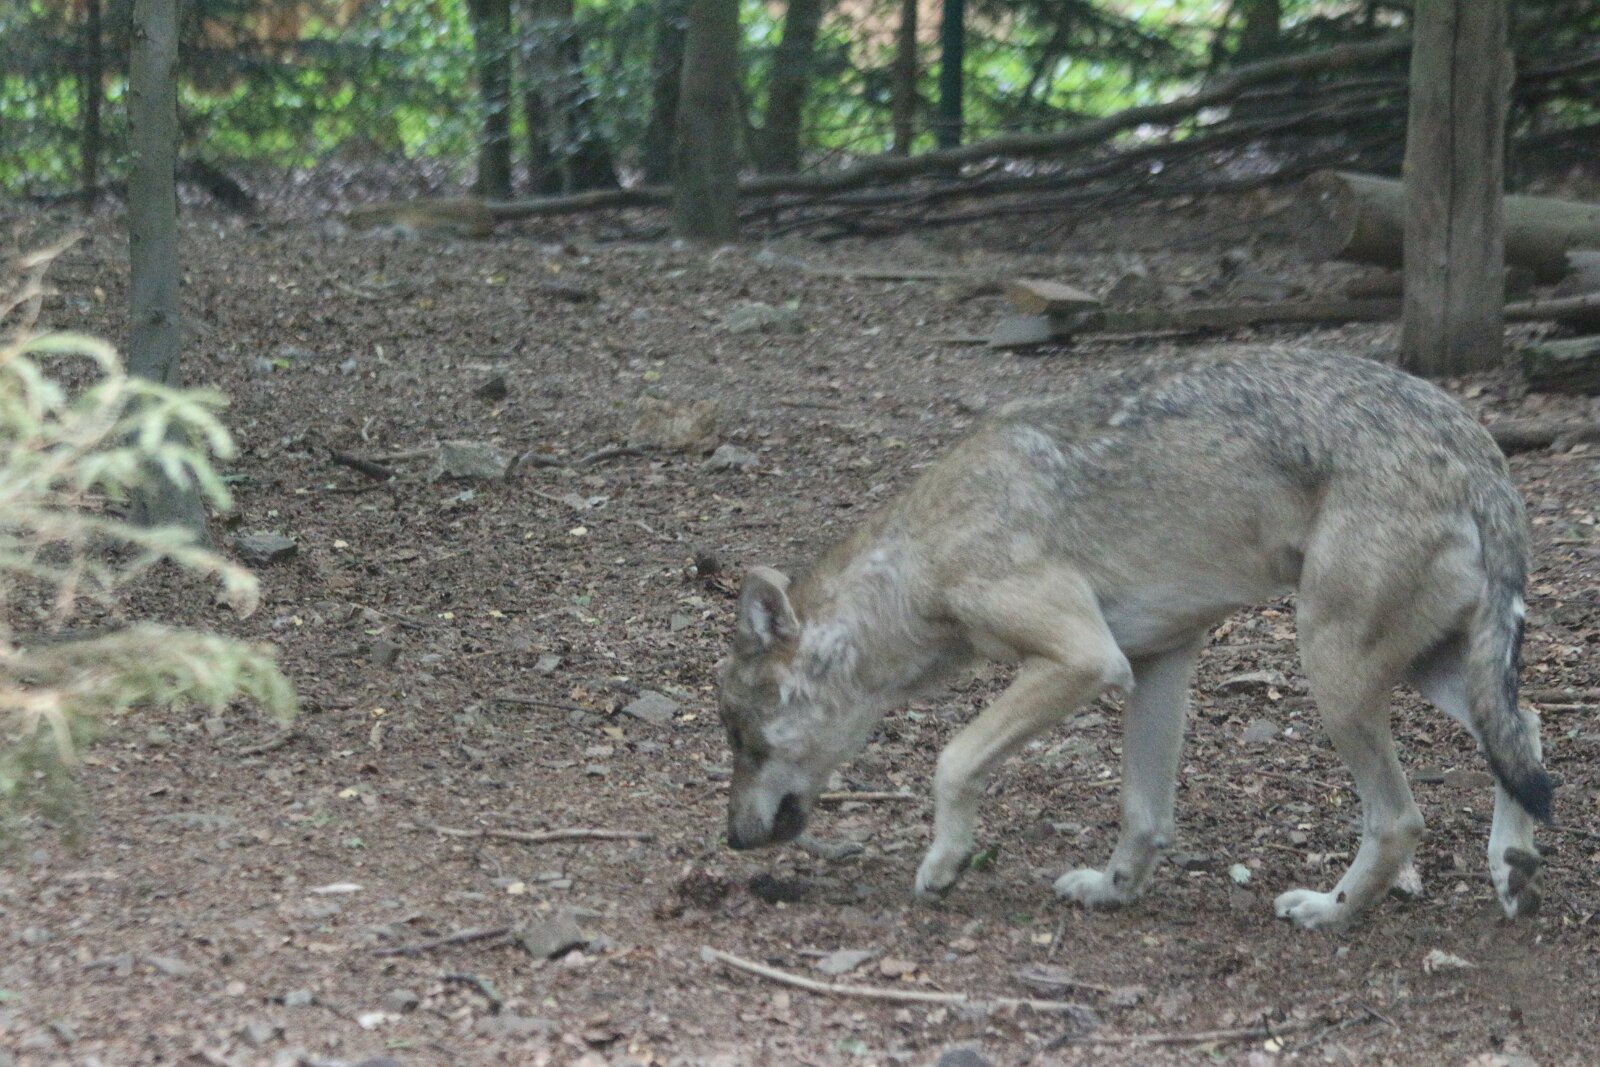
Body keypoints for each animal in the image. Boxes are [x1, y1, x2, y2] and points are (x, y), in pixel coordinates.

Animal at [716, 349, 1551, 930]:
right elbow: (1143, 813)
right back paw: (1512, 868)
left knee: (1400, 817)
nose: (731, 840)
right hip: (1427, 668)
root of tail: (1471, 440)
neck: (920, 557)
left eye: (745, 742)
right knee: (1528, 727)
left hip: (1333, 670)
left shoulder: (1085, 658)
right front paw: (1113, 891)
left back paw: (1329, 910)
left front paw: (944, 863)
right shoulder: (1158, 661)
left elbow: (951, 759)